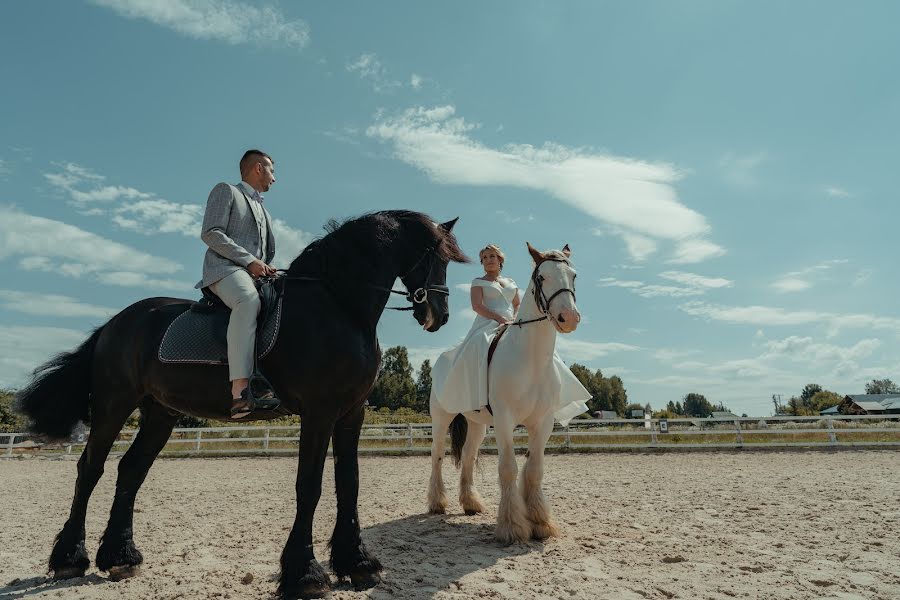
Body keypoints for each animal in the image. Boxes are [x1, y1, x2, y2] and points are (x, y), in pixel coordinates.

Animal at [15, 210, 472, 596]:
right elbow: (310, 485)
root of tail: (115, 323)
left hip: (160, 413)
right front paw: (305, 575)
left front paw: (358, 564)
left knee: (130, 471)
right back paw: (71, 559)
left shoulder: (351, 414)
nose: (439, 315)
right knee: (90, 469)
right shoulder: (319, 412)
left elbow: (349, 483)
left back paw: (120, 558)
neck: (338, 307)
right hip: (115, 404)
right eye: (434, 258)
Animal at [428, 243, 584, 544]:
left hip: (477, 424)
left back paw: (471, 503)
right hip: (441, 418)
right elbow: (509, 469)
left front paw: (541, 522)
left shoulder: (543, 422)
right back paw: (436, 503)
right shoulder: (504, 419)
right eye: (541, 277)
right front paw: (512, 527)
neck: (530, 359)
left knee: (468, 456)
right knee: (437, 455)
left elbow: (534, 470)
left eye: (573, 275)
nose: (568, 318)